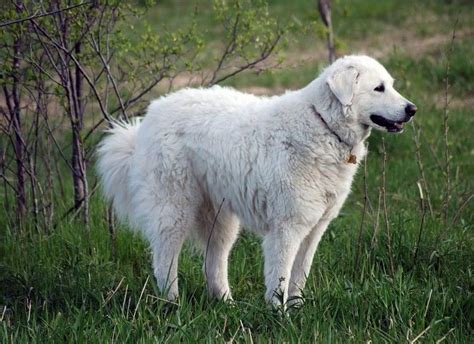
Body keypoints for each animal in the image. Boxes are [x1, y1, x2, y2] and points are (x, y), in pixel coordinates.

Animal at [96, 55, 414, 306]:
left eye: (391, 84)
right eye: (379, 88)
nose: (412, 109)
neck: (322, 124)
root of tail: (149, 117)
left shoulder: (314, 229)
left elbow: (299, 275)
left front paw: (297, 311)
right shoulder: (286, 229)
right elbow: (280, 277)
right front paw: (279, 315)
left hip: (220, 220)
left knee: (214, 262)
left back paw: (226, 303)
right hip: (174, 211)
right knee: (165, 260)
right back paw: (172, 304)